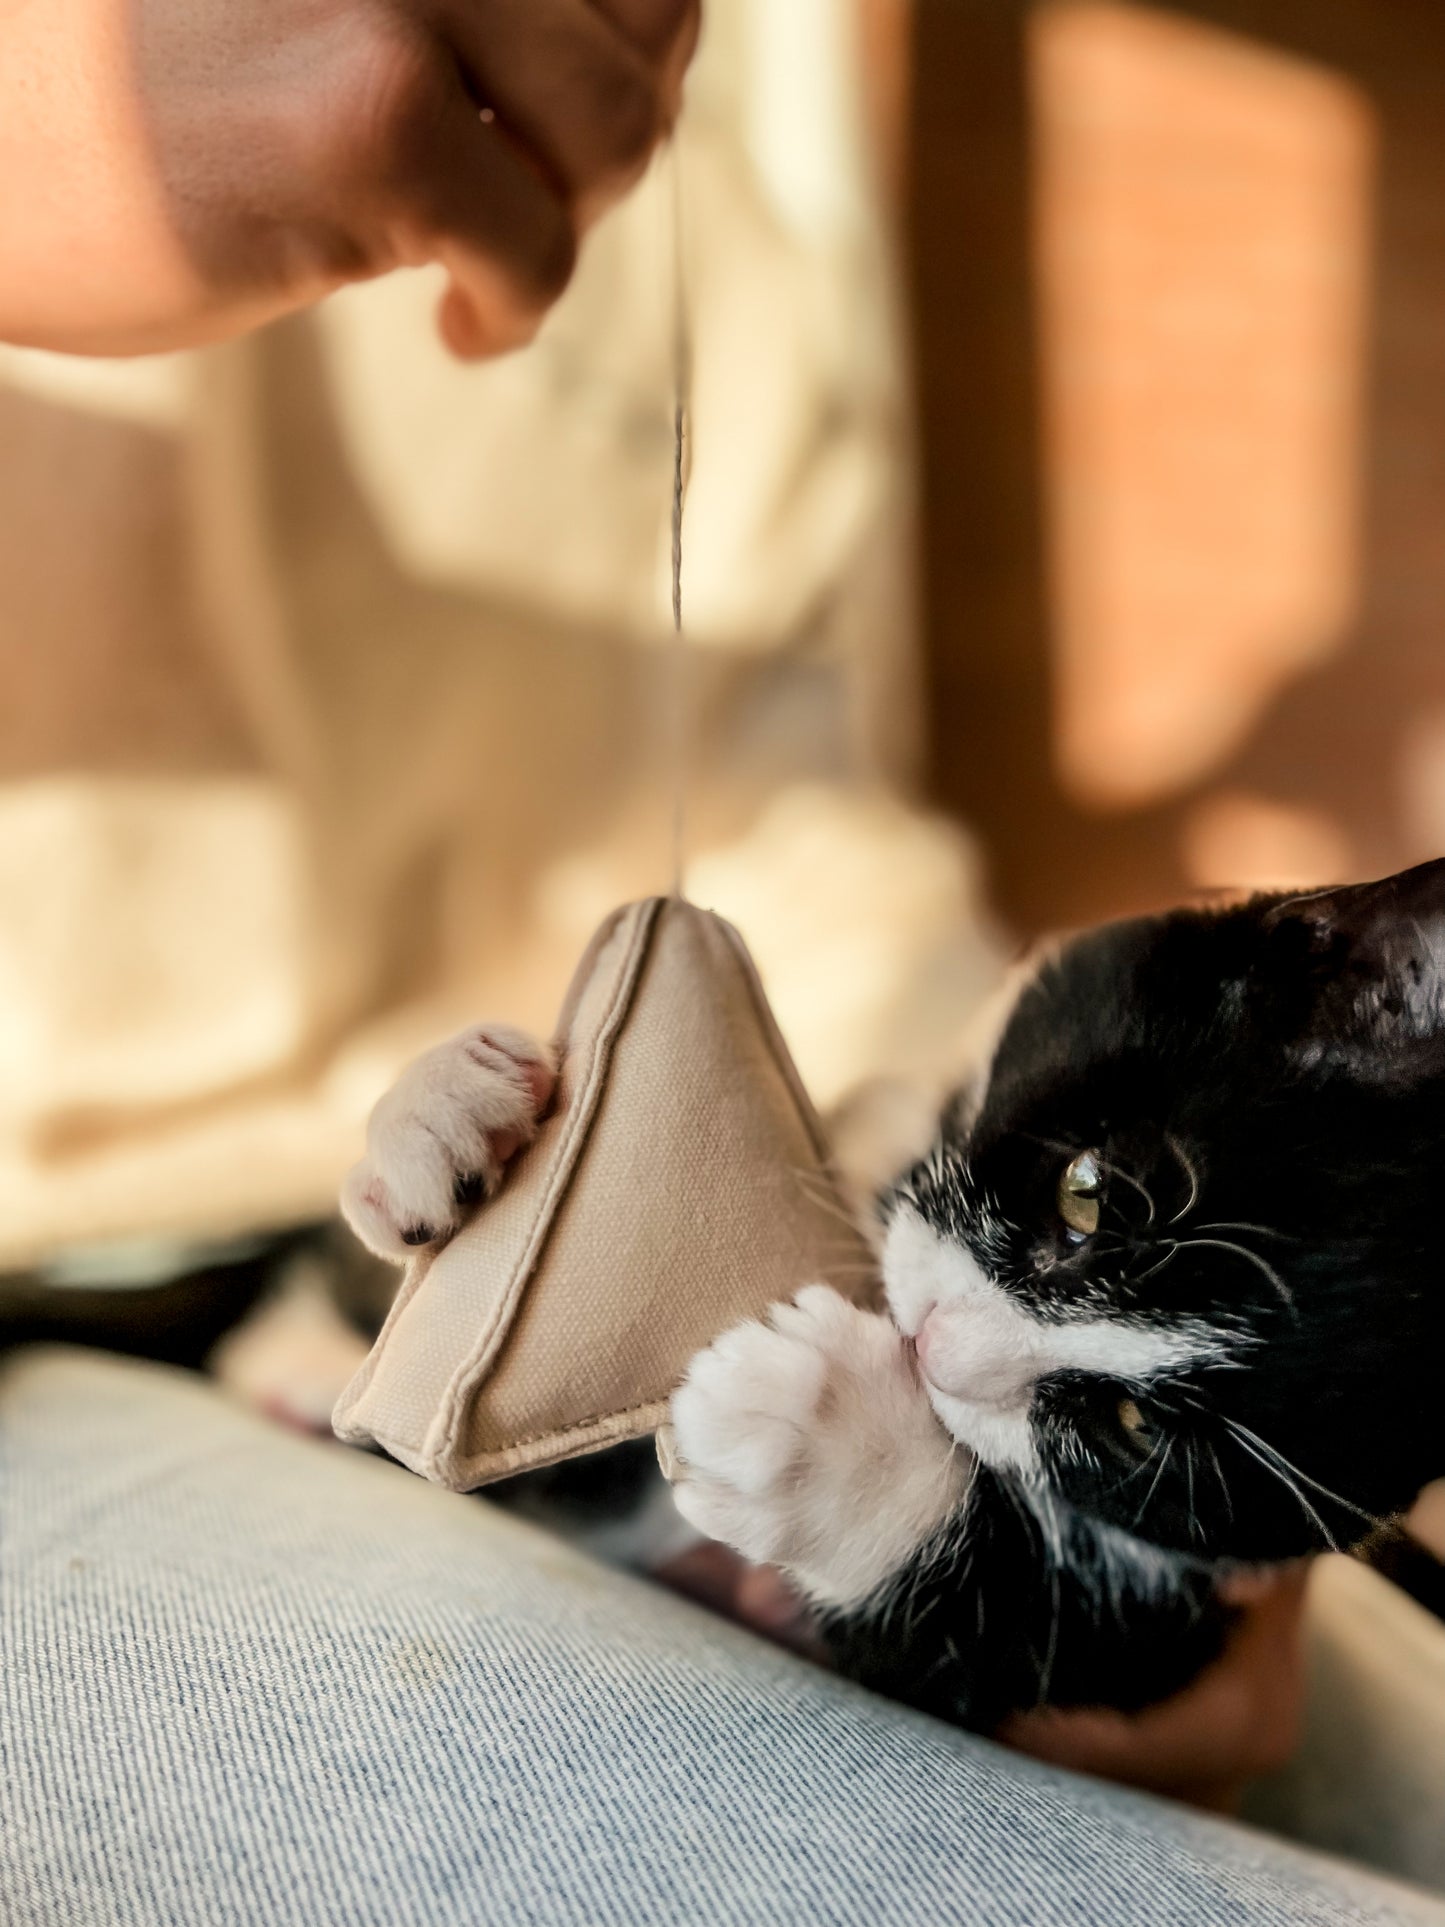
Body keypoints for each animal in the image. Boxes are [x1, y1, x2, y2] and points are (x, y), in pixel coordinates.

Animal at [342, 863, 1445, 1734]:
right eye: (1085, 1191)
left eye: (1134, 1426)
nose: (939, 1346)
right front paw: (449, 1114)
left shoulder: (1188, 1607)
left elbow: (1002, 1635)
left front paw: (818, 1435)